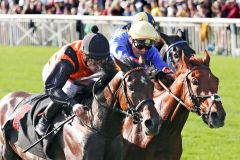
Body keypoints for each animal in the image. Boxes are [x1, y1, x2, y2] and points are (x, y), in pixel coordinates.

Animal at [0, 58, 161, 159]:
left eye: (152, 85)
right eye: (131, 87)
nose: (153, 122)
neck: (101, 129)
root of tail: (6, 98)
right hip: (5, 153)